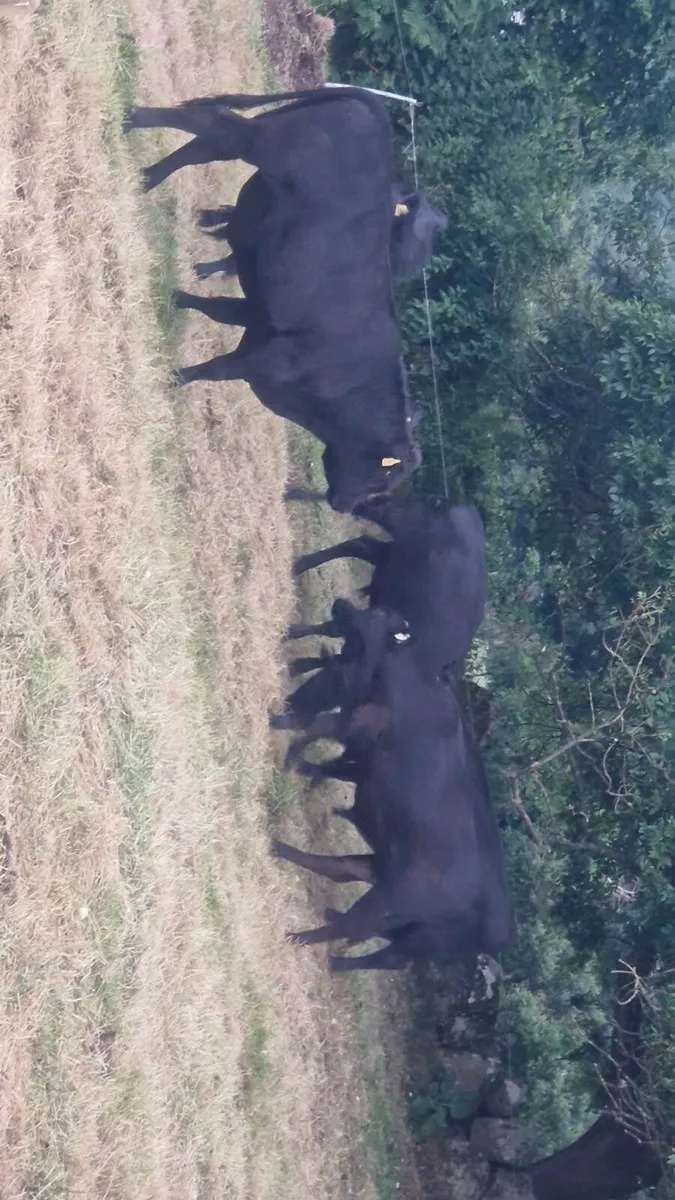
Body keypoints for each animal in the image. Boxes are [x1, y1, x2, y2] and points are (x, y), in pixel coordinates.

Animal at [123, 88, 421, 512]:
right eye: (382, 476)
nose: (343, 505)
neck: (350, 377)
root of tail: (370, 105)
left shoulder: (257, 318)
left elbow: (214, 309)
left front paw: (176, 297)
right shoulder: (266, 359)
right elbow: (216, 369)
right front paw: (174, 377)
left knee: (211, 138)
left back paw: (145, 166)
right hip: (264, 145)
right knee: (219, 127)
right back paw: (141, 143)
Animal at [272, 609, 515, 971]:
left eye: (375, 618)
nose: (340, 606)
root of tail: (503, 933)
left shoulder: (359, 727)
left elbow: (319, 727)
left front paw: (289, 747)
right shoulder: (357, 740)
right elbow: (324, 745)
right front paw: (296, 756)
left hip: (396, 909)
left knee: (363, 937)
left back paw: (308, 944)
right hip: (389, 882)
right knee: (344, 874)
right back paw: (279, 850)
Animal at [286, 498, 487, 680]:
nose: (339, 606)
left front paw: (296, 665)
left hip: (388, 560)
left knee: (360, 545)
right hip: (400, 544)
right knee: (361, 540)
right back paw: (298, 565)